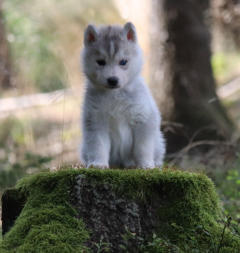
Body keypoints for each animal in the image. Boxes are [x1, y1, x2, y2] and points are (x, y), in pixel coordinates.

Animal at [80, 22, 165, 169]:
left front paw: (145, 165)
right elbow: (98, 146)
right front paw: (98, 164)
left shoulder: (143, 119)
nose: (112, 80)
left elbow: (142, 148)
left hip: (159, 142)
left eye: (123, 62)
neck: (115, 95)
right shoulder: (96, 122)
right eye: (100, 62)